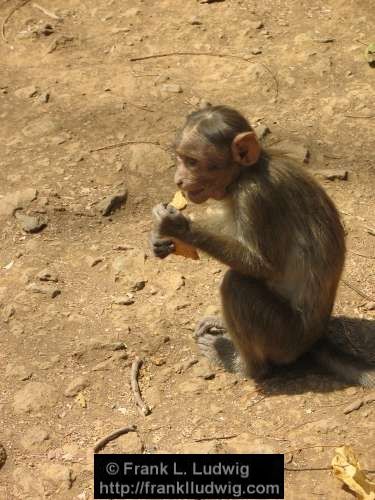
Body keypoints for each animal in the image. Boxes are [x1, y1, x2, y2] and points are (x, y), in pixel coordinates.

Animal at [151, 104, 375, 386]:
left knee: (237, 285)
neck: (248, 171)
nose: (178, 179)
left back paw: (245, 366)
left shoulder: (256, 196)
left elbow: (262, 266)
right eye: (180, 158)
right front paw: (164, 241)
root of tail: (314, 339)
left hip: (284, 338)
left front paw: (178, 228)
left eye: (192, 161)